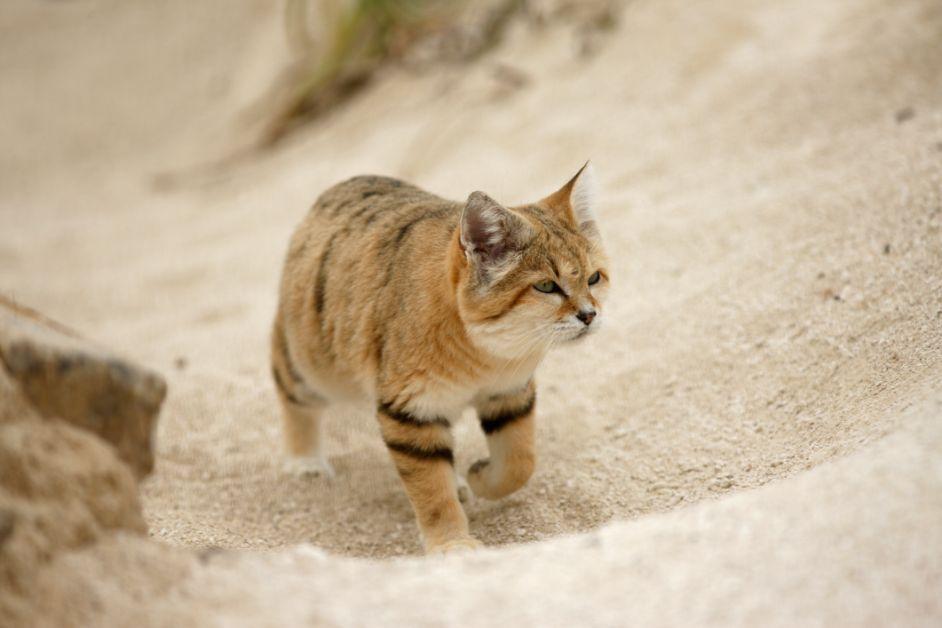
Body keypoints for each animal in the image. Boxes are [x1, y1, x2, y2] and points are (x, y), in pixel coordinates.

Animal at [272, 163, 612, 556]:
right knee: (291, 394)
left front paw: (479, 477)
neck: (482, 354)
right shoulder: (410, 412)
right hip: (311, 366)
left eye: (594, 278)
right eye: (546, 286)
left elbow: (520, 462)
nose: (589, 315)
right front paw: (452, 544)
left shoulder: (509, 393)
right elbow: (432, 490)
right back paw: (305, 461)